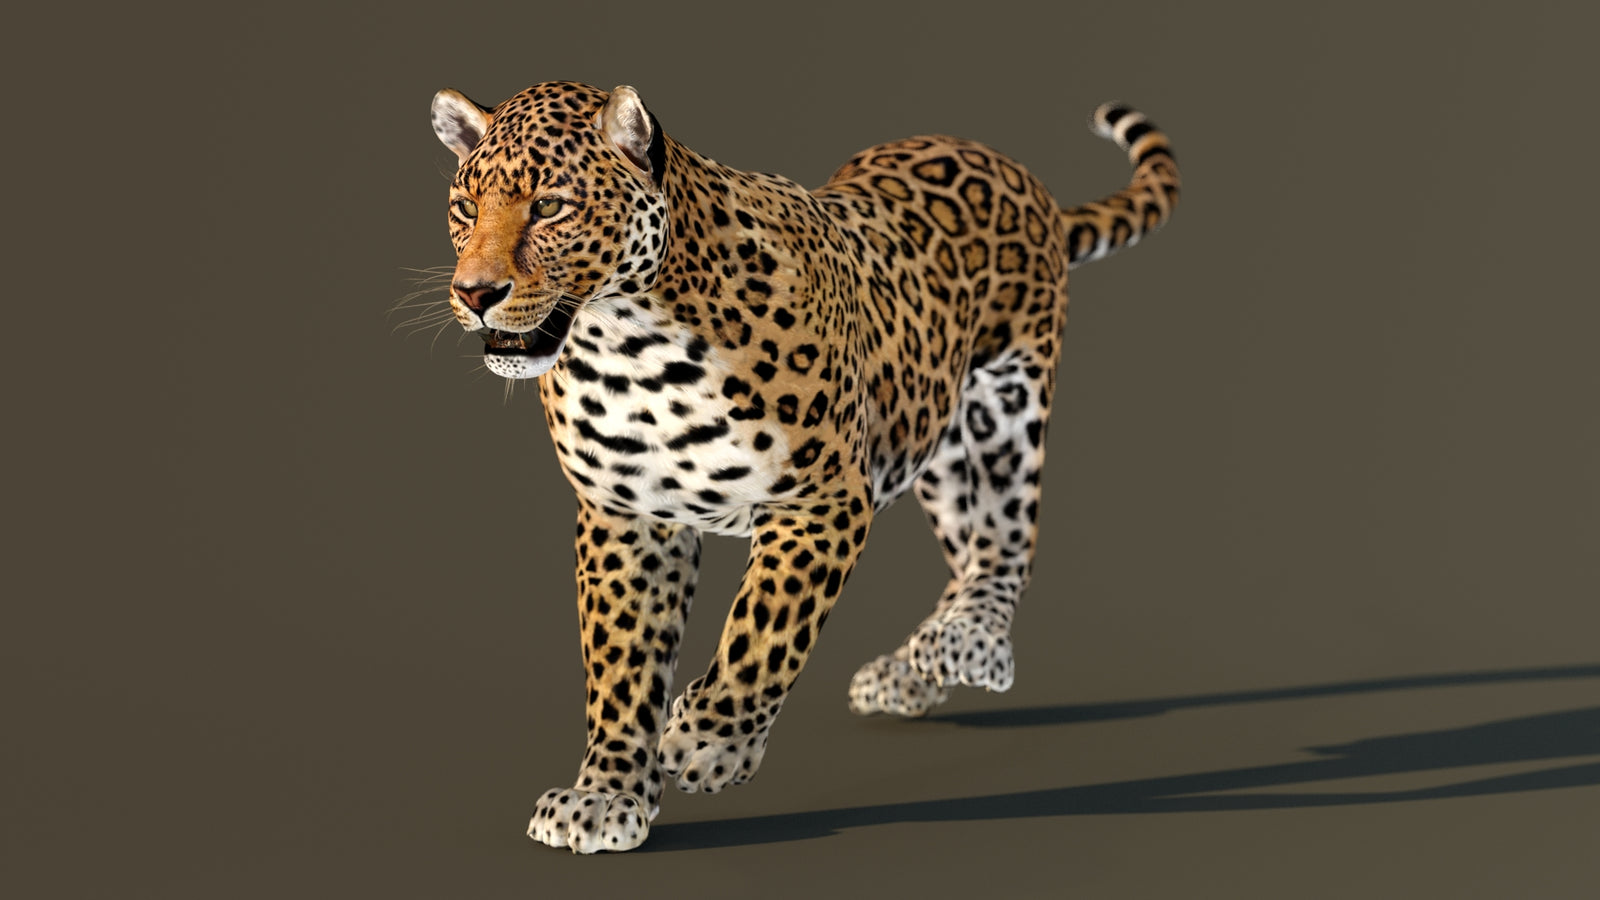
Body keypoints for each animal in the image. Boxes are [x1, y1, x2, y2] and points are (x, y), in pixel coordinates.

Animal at [424, 80, 1179, 853]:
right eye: (465, 208)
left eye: (551, 206)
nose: (474, 293)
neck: (627, 346)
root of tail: (1010, 166)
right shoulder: (627, 518)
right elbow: (622, 664)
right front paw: (606, 794)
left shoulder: (821, 499)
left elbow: (765, 630)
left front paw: (706, 744)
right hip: (929, 434)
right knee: (965, 540)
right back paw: (914, 669)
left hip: (1008, 402)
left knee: (1006, 535)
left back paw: (969, 639)